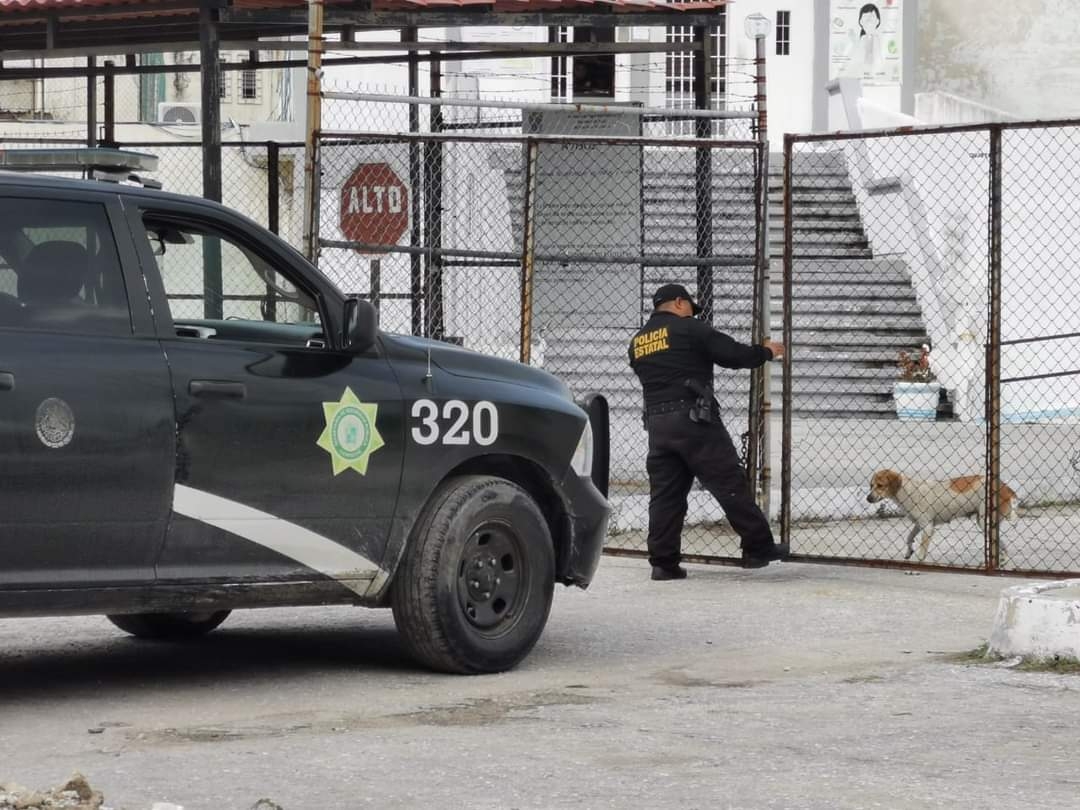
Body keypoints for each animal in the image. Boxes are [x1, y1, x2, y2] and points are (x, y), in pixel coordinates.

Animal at [864, 473, 1015, 561]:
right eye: (871, 485)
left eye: (880, 485)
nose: (868, 498)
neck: (906, 491)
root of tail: (1005, 486)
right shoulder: (920, 524)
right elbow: (909, 537)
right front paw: (909, 551)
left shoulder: (927, 527)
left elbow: (922, 551)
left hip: (985, 521)